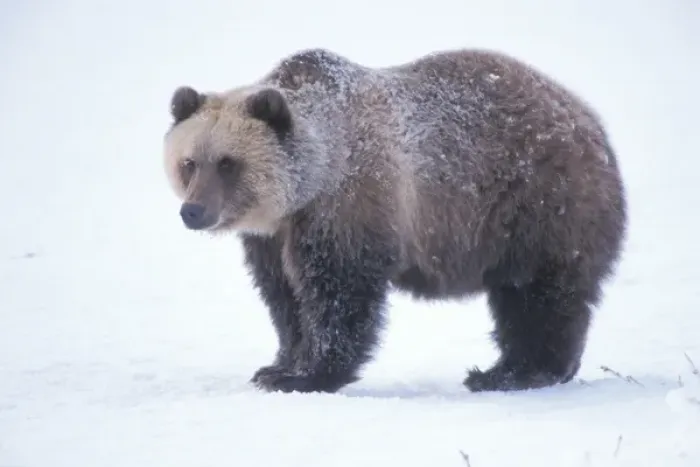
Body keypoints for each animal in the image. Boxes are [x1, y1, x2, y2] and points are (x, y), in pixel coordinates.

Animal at [162, 47, 627, 394]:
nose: (193, 212)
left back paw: (512, 372)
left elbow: (339, 292)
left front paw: (306, 374)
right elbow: (284, 297)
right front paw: (278, 365)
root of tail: (591, 122)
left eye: (228, 163)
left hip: (536, 205)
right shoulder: (273, 236)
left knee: (538, 295)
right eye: (189, 162)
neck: (309, 182)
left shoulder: (350, 205)